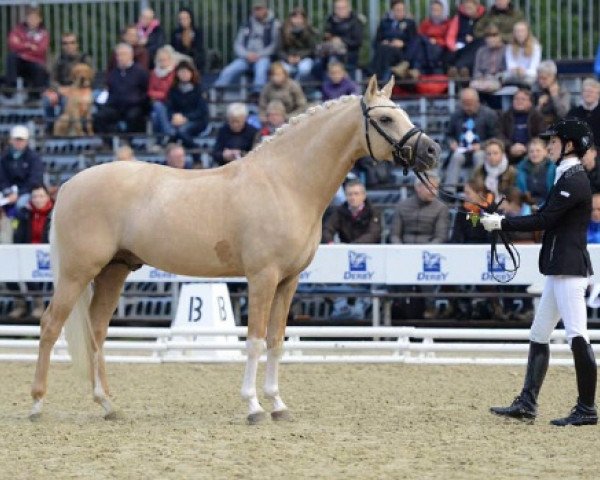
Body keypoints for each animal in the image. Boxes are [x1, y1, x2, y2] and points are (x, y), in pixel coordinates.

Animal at [30, 76, 438, 424]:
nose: (432, 151)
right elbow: (255, 340)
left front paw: (278, 404)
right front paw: (254, 407)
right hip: (77, 272)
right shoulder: (262, 278)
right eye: (385, 117)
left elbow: (276, 341)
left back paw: (107, 405)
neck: (286, 182)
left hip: (113, 271)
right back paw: (37, 404)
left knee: (96, 330)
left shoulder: (289, 281)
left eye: (403, 113)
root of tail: (69, 185)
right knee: (50, 325)